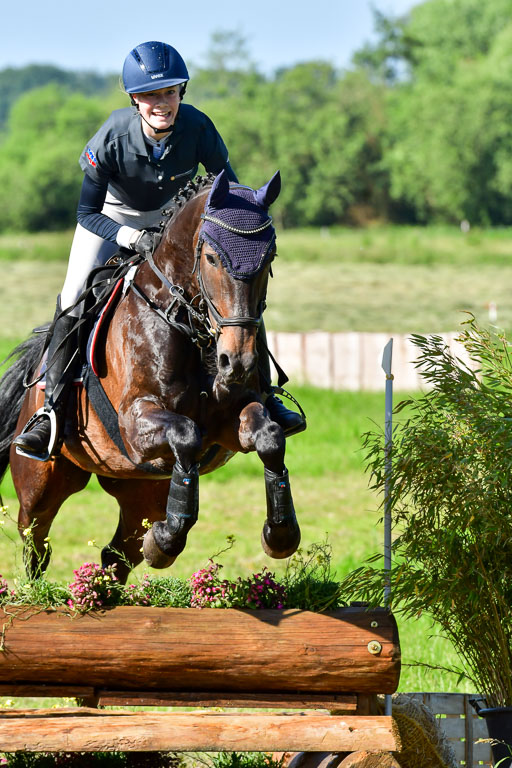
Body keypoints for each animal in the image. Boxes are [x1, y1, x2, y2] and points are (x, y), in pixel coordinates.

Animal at [0, 171, 300, 584]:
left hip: (141, 491)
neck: (192, 327)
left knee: (116, 556)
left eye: (268, 258)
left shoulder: (233, 419)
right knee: (36, 542)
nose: (236, 362)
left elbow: (269, 437)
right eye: (211, 258)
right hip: (41, 482)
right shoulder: (135, 421)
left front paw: (281, 534)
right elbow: (187, 435)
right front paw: (167, 541)